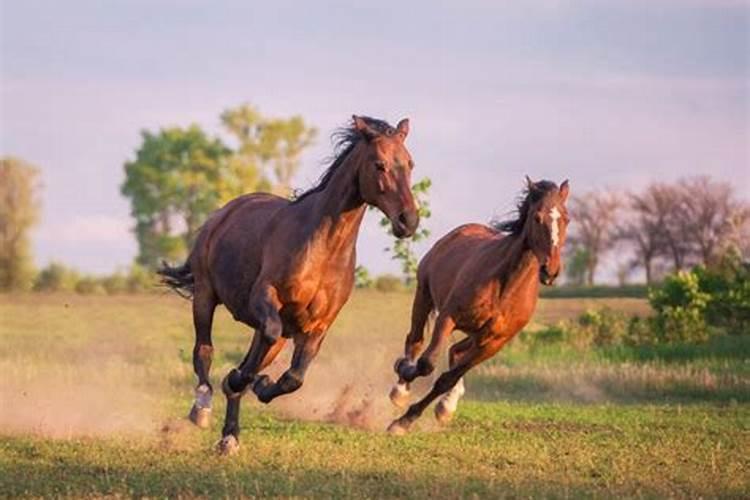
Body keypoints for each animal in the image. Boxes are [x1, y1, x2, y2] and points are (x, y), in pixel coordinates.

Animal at [159, 114, 424, 454]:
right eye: (379, 165)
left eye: (410, 163)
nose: (408, 221)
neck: (323, 249)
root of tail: (224, 212)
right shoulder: (265, 297)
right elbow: (254, 353)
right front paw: (237, 381)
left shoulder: (317, 326)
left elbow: (294, 378)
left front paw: (259, 384)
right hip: (205, 296)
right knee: (203, 350)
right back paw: (202, 407)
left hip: (276, 334)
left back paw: (230, 436)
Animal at [388, 178, 568, 436]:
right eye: (537, 217)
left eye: (566, 219)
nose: (550, 271)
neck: (505, 287)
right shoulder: (448, 317)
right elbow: (427, 363)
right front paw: (403, 383)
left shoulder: (493, 343)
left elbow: (447, 378)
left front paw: (406, 421)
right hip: (423, 295)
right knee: (415, 339)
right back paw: (400, 390)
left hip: (475, 334)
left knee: (455, 352)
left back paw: (446, 406)